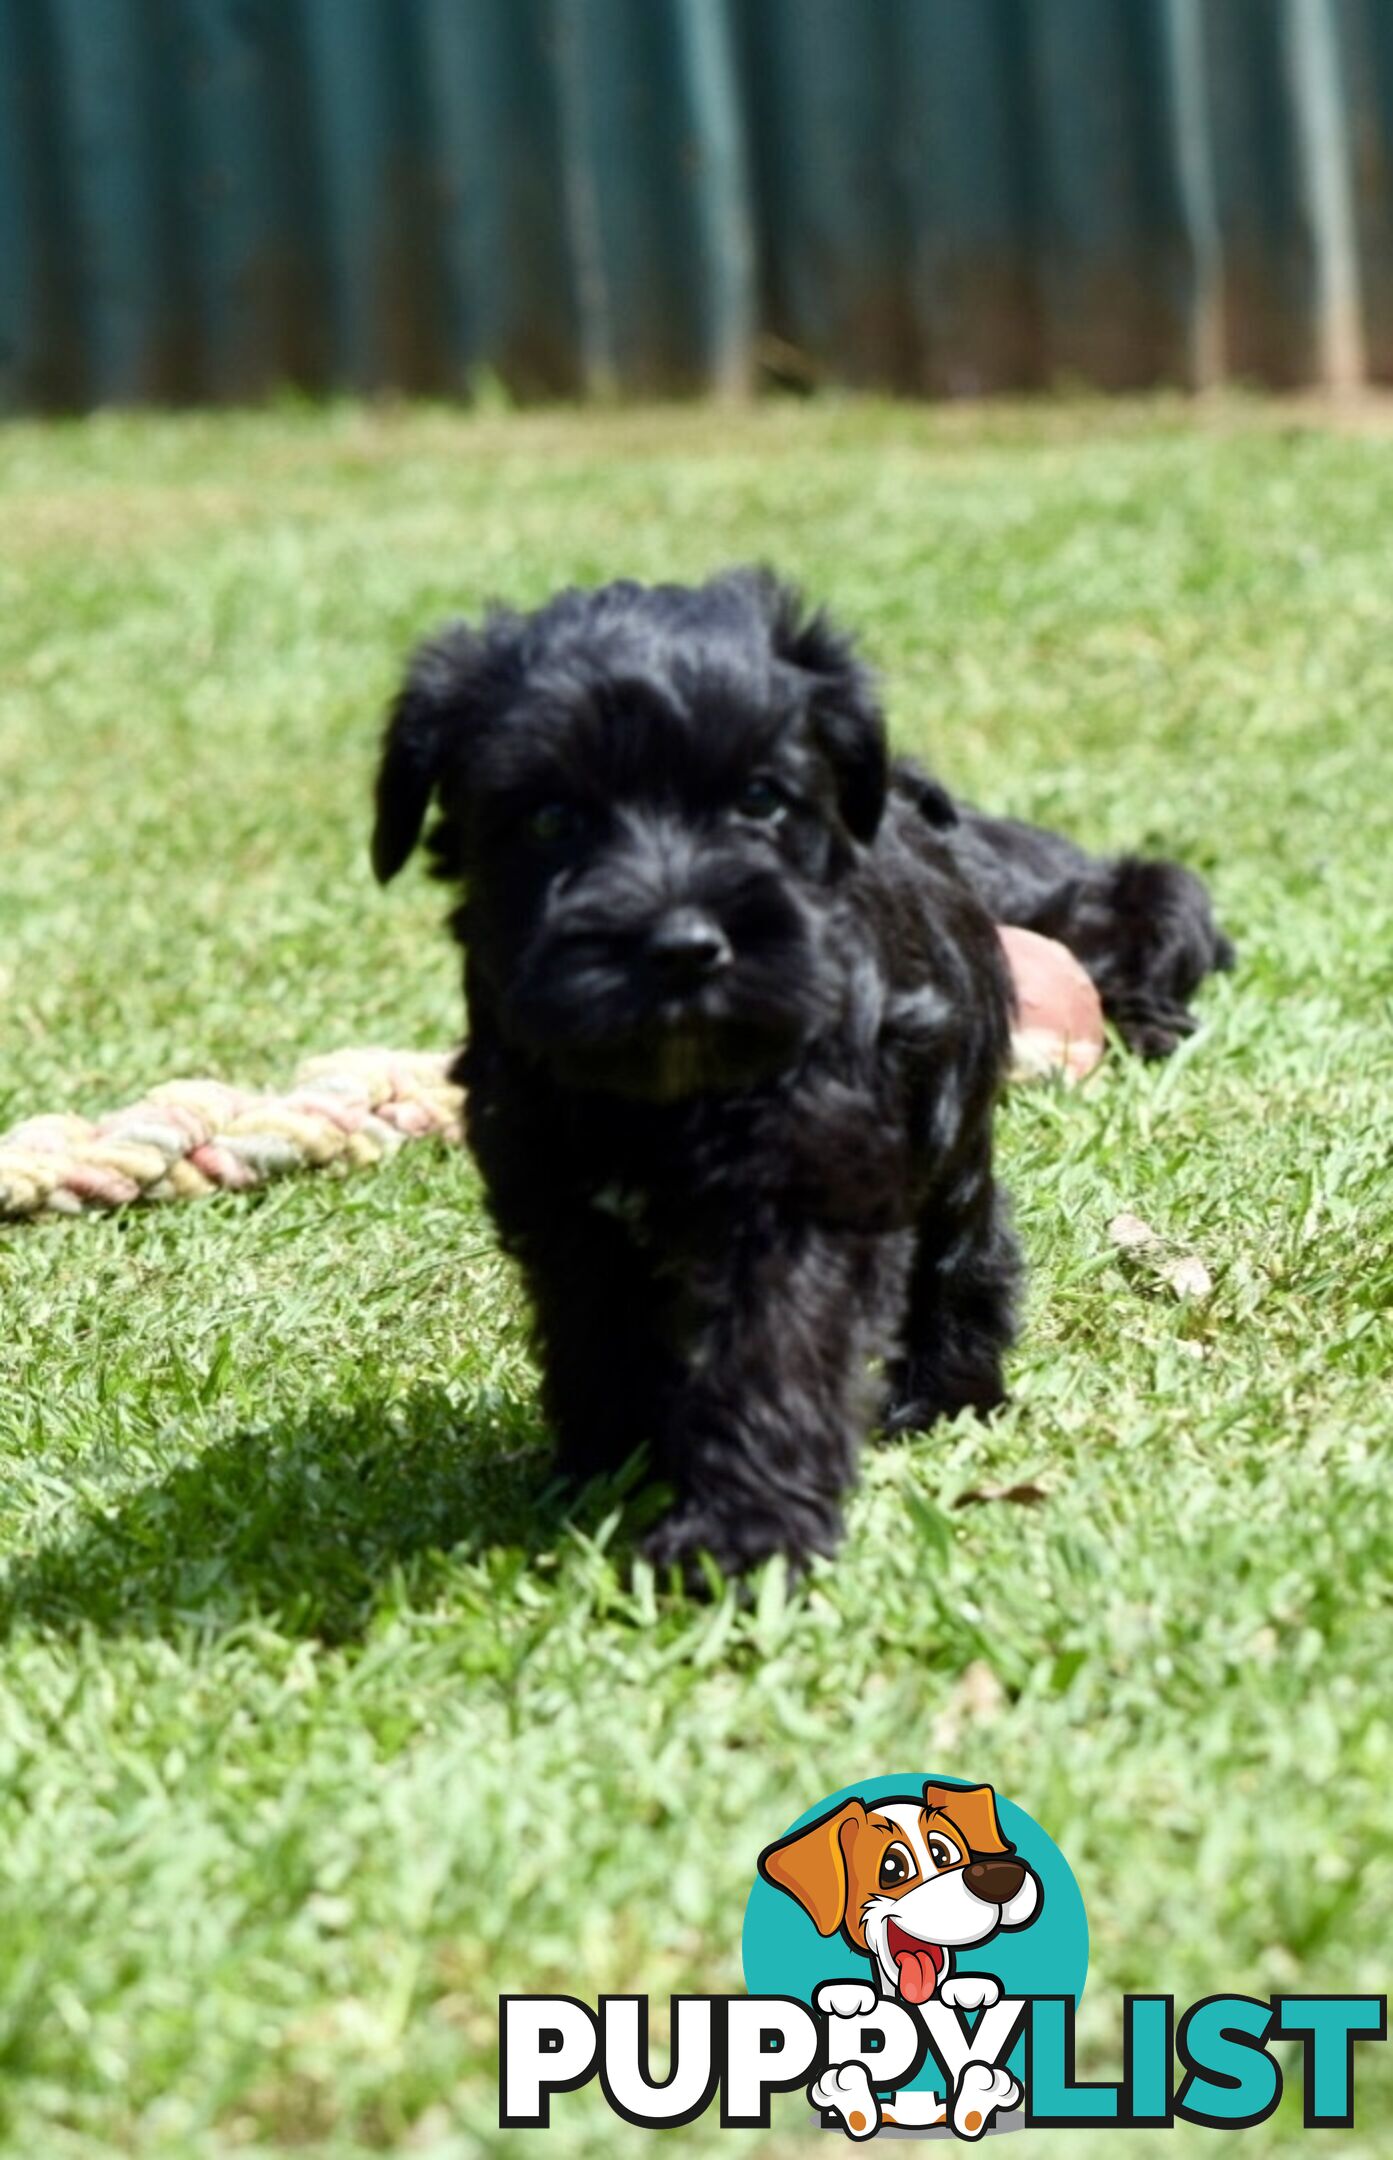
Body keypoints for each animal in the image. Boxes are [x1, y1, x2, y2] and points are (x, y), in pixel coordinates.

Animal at [371, 570, 1226, 1589]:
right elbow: (598, 1338)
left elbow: (773, 1356)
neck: (665, 1094)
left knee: (966, 1247)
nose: (683, 948)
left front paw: (738, 1536)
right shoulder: (561, 1202)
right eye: (548, 819)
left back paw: (947, 1391)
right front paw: (611, 1472)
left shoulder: (809, 1188)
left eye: (759, 799)